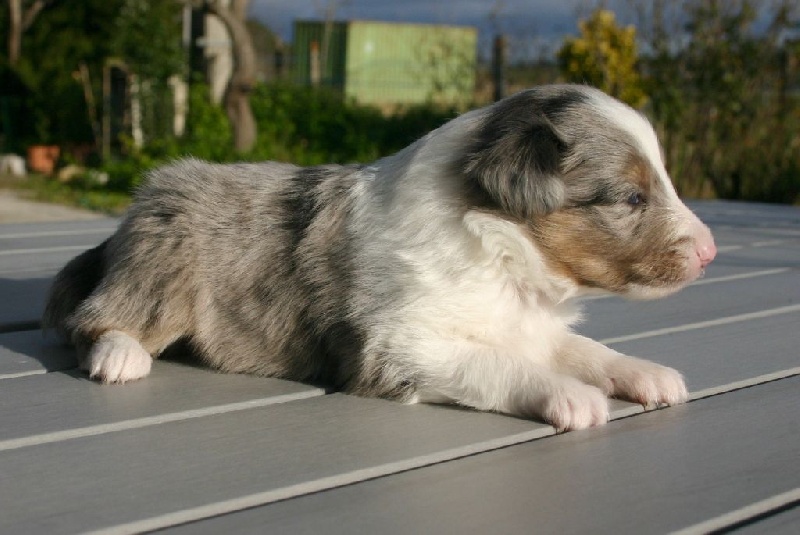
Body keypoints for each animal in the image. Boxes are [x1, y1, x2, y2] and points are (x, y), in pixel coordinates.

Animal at [44, 85, 716, 431]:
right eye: (630, 197)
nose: (711, 252)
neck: (501, 255)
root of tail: (141, 204)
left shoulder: (525, 324)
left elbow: (584, 350)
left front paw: (644, 372)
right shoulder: (398, 346)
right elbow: (497, 365)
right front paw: (571, 397)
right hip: (165, 266)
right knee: (91, 319)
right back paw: (120, 355)